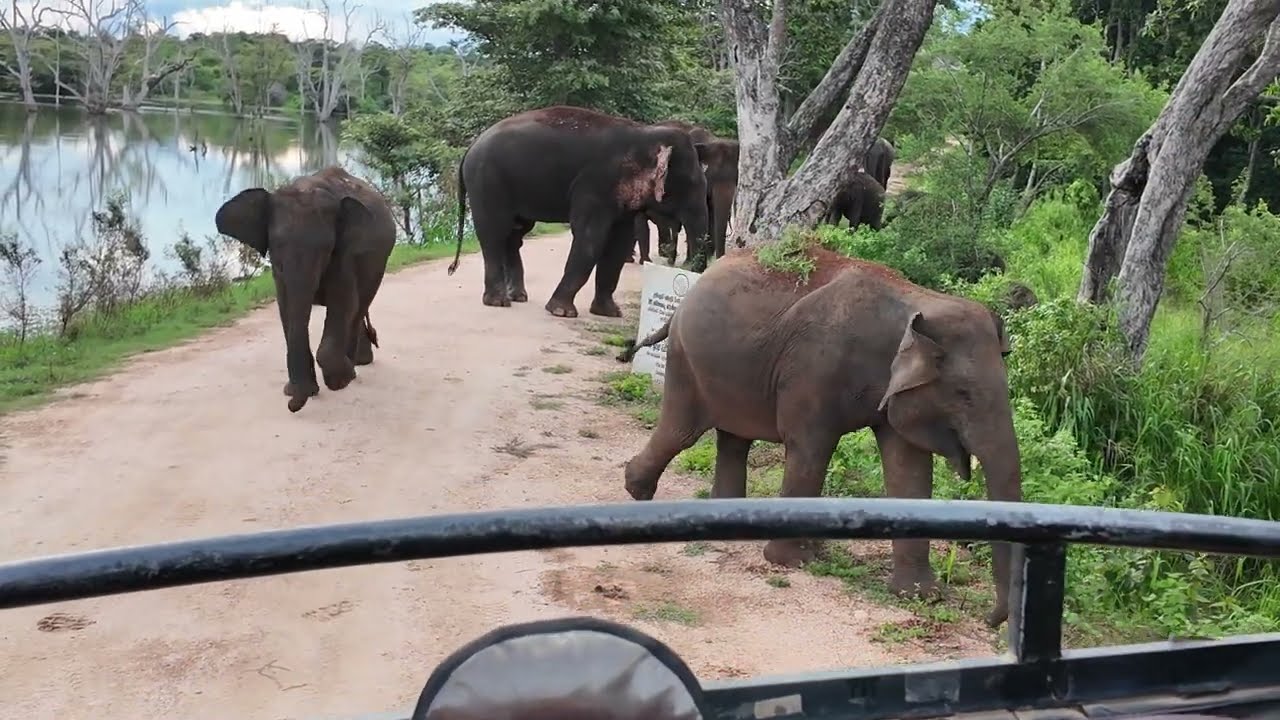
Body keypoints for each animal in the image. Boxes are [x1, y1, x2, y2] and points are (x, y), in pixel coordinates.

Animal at [215, 165, 396, 413]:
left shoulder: (344, 251)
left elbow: (343, 301)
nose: (292, 406)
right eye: (276, 245)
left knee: (359, 307)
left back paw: (353, 368)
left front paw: (338, 382)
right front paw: (299, 390)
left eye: (326, 248)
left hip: (379, 261)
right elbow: (286, 307)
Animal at [446, 106, 711, 319]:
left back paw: (517, 296)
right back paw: (498, 302)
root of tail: (470, 147)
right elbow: (590, 238)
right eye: (691, 184)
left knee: (515, 234)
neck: (645, 134)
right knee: (495, 233)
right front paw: (561, 312)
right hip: (487, 182)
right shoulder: (596, 184)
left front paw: (609, 313)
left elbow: (618, 244)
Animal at [616, 246, 1023, 628]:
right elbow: (810, 448)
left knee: (733, 438)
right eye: (964, 395)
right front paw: (792, 562)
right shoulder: (815, 367)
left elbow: (908, 469)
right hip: (688, 358)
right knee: (683, 431)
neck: (919, 301)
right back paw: (637, 490)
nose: (990, 620)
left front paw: (923, 596)